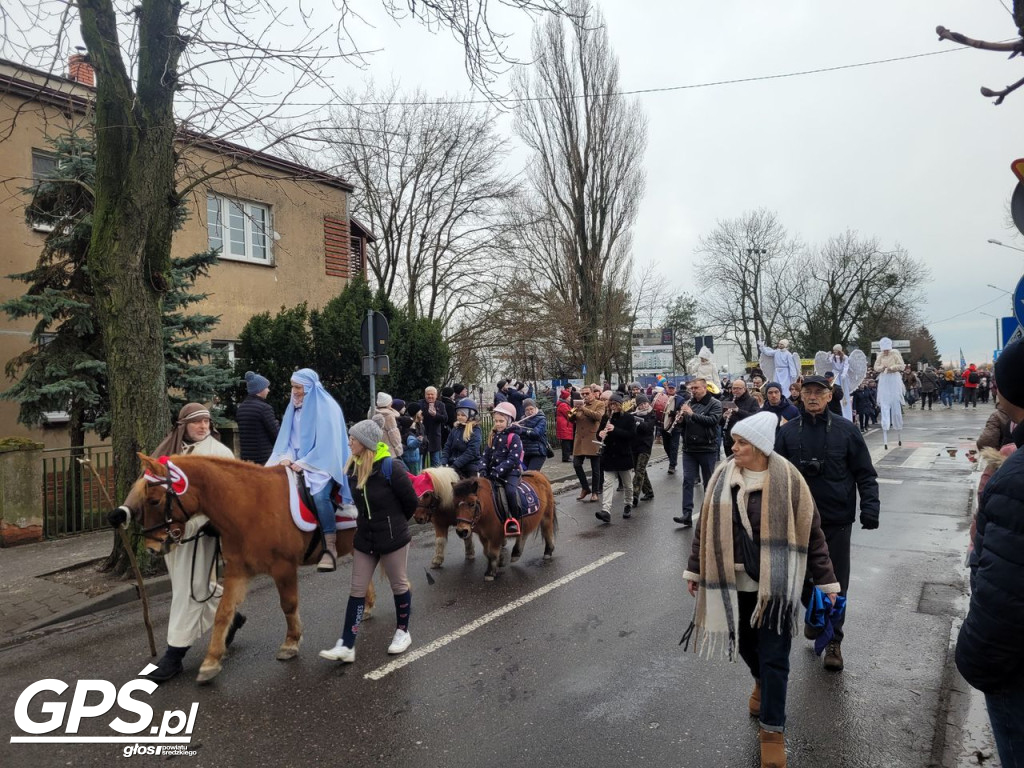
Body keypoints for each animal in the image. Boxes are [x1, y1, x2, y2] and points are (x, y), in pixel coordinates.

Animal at [121, 454, 374, 684]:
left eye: (154, 500)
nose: (152, 548)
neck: (251, 505)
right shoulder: (237, 571)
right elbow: (223, 612)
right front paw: (211, 660)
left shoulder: (283, 567)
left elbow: (288, 605)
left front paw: (291, 642)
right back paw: (368, 607)